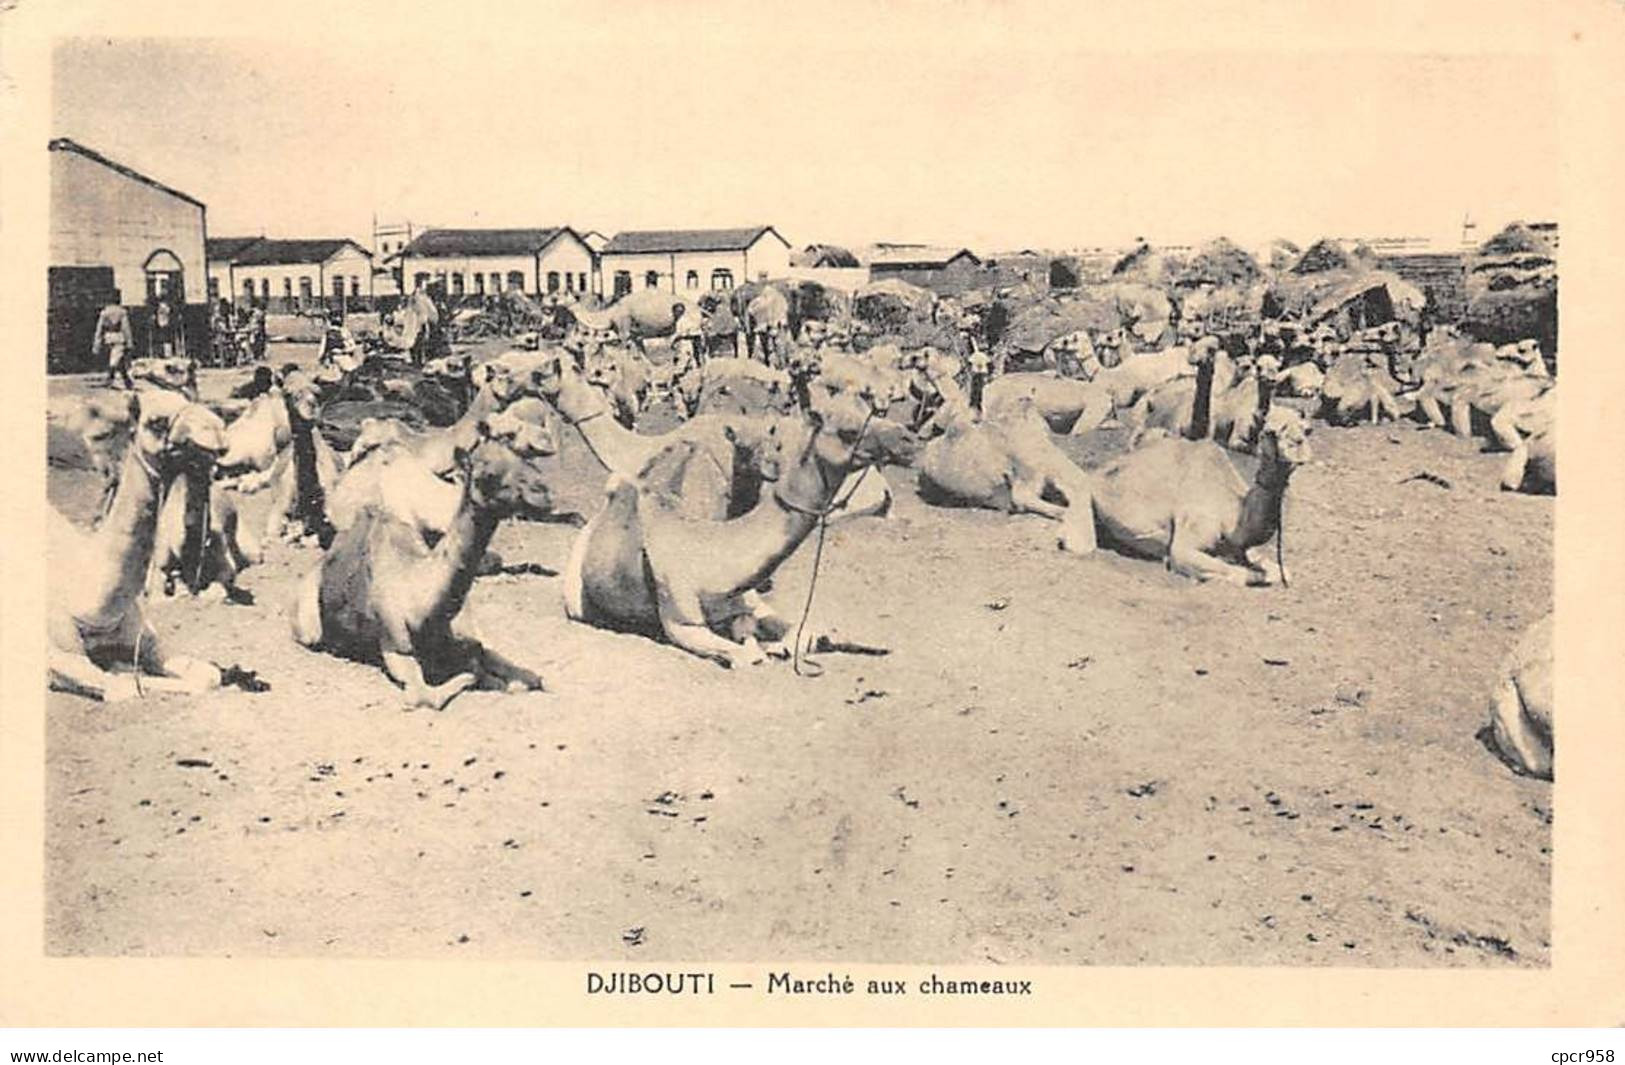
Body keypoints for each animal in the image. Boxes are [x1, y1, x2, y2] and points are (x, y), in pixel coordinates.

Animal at [50, 391, 234, 699]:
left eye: (187, 399)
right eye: (157, 421)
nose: (218, 429)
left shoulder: (146, 638)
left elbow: (209, 675)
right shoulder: (56, 655)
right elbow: (123, 687)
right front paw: (121, 670)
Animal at [295, 404, 562, 705]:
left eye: (525, 461)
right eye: (487, 475)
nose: (543, 493)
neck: (425, 611)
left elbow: (529, 674)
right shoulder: (396, 648)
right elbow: (430, 694)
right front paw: (480, 675)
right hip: (308, 626)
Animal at [562, 390, 923, 666]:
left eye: (871, 409)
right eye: (848, 431)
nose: (911, 439)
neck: (716, 560)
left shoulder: (747, 599)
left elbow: (804, 633)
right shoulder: (681, 620)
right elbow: (750, 654)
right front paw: (760, 646)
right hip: (576, 594)